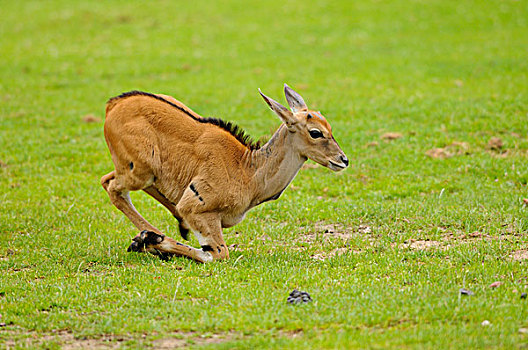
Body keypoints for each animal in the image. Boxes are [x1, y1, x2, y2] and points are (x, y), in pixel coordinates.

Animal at [100, 85, 348, 262]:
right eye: (315, 132)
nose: (343, 160)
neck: (248, 170)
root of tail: (113, 105)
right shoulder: (197, 209)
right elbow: (218, 253)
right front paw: (149, 242)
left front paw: (149, 241)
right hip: (139, 173)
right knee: (111, 186)